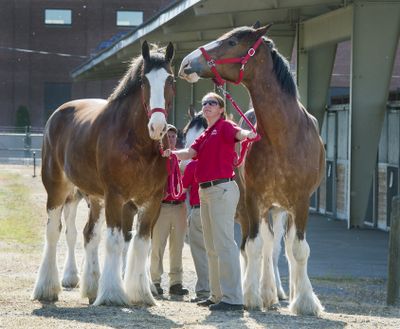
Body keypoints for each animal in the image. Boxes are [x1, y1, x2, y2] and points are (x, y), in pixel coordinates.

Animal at [31, 41, 175, 304]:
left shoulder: (151, 200)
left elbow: (141, 243)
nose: (158, 127)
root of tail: (58, 114)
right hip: (58, 190)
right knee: (54, 232)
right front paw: (112, 294)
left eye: (170, 80)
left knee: (90, 235)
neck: (136, 143)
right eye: (144, 81)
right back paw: (47, 288)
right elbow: (115, 242)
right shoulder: (116, 197)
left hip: (95, 198)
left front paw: (141, 293)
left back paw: (91, 287)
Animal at [180, 24, 326, 314]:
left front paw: (305, 301)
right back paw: (267, 292)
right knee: (264, 246)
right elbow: (255, 247)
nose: (186, 63)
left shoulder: (301, 201)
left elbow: (298, 250)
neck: (284, 136)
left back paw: (283, 292)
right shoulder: (253, 199)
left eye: (232, 41)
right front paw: (251, 295)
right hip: (264, 208)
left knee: (282, 247)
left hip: (281, 209)